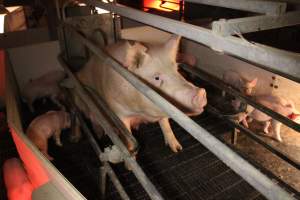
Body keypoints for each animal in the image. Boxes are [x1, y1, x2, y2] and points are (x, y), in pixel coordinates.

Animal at [74, 35, 207, 152]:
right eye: (156, 77)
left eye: (177, 70)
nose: (201, 92)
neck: (142, 112)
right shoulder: (118, 111)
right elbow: (128, 139)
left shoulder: (163, 105)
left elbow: (165, 124)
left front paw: (177, 149)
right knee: (84, 116)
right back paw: (90, 136)